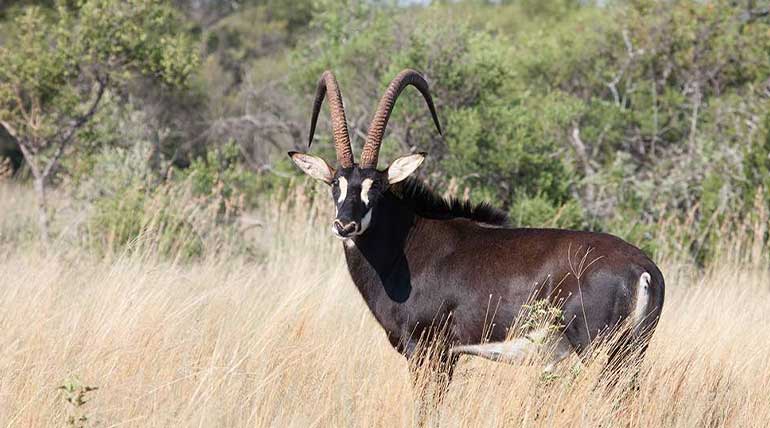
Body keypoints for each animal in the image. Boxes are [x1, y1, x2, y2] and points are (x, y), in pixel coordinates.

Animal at [289, 69, 665, 391]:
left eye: (376, 187)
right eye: (334, 184)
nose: (345, 225)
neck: (404, 246)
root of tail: (643, 268)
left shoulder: (431, 351)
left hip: (599, 347)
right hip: (631, 350)